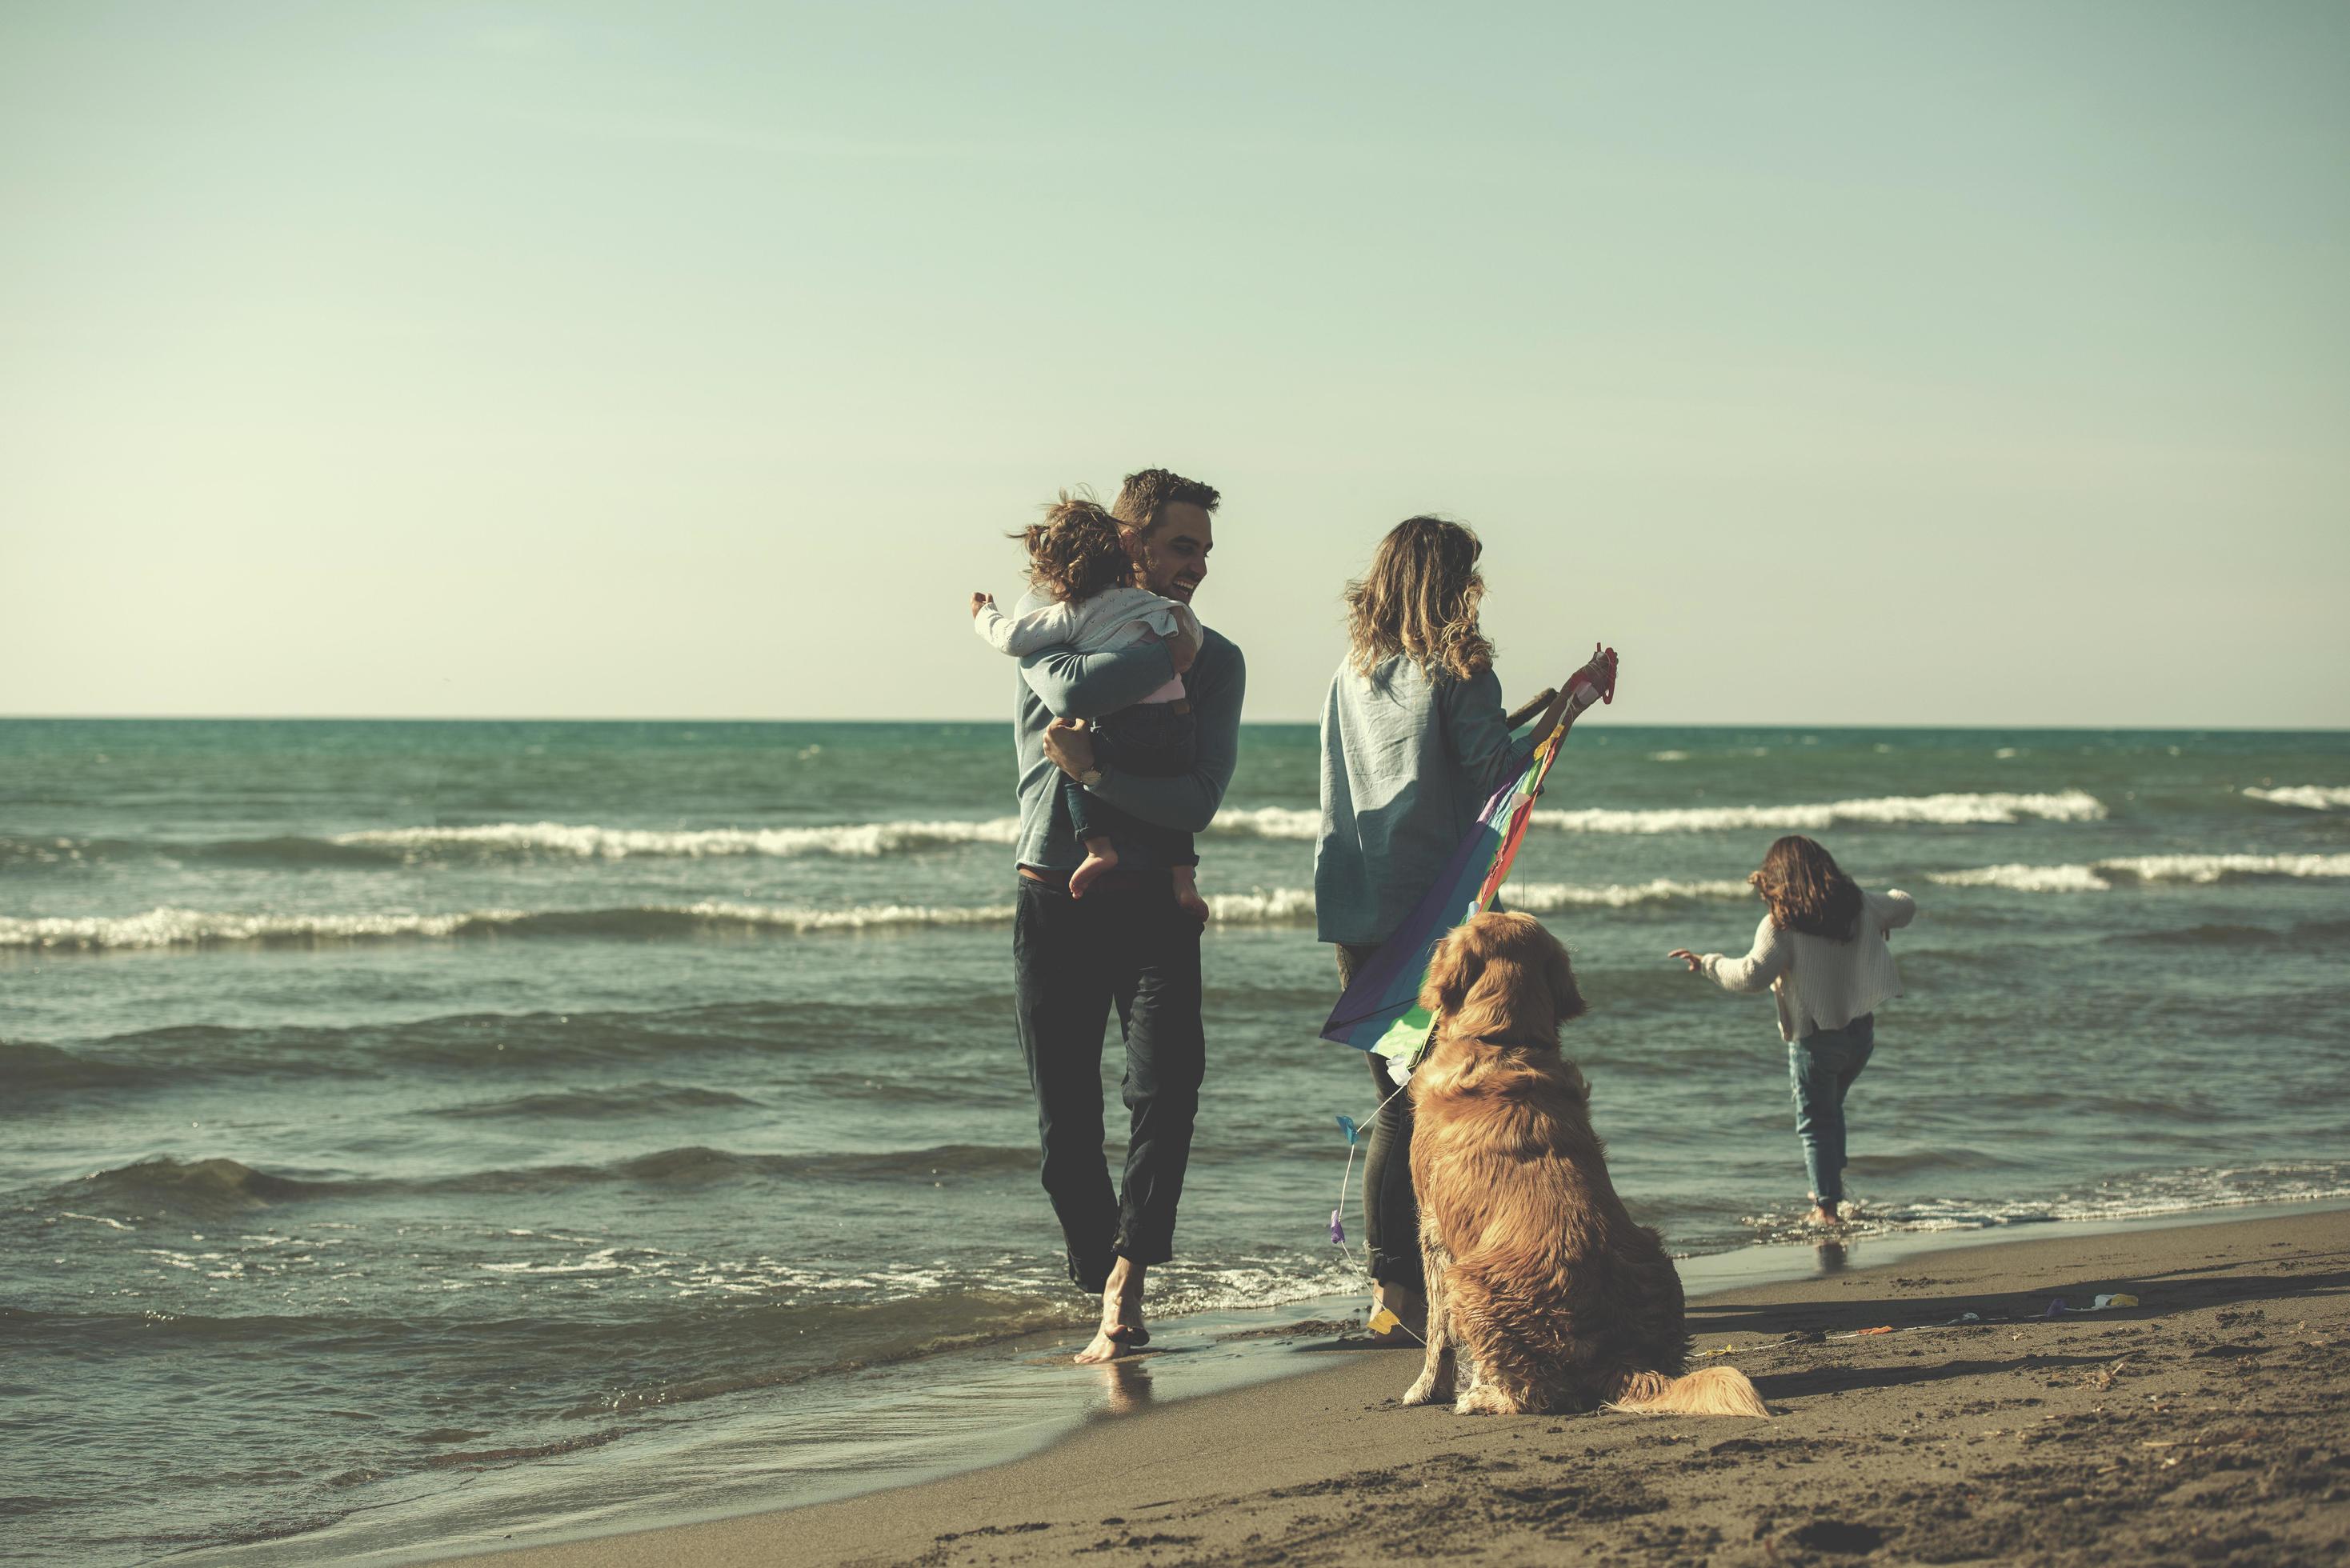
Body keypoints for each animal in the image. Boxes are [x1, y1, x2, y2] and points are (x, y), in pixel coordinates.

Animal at [1391, 907, 1767, 1419]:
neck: (1504, 1042)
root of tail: (1616, 1356)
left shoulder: (1430, 1225)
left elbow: (1437, 1331)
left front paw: (1427, 1388)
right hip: (1656, 1257)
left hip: (1467, 1281)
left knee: (1531, 1393)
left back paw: (1481, 1397)